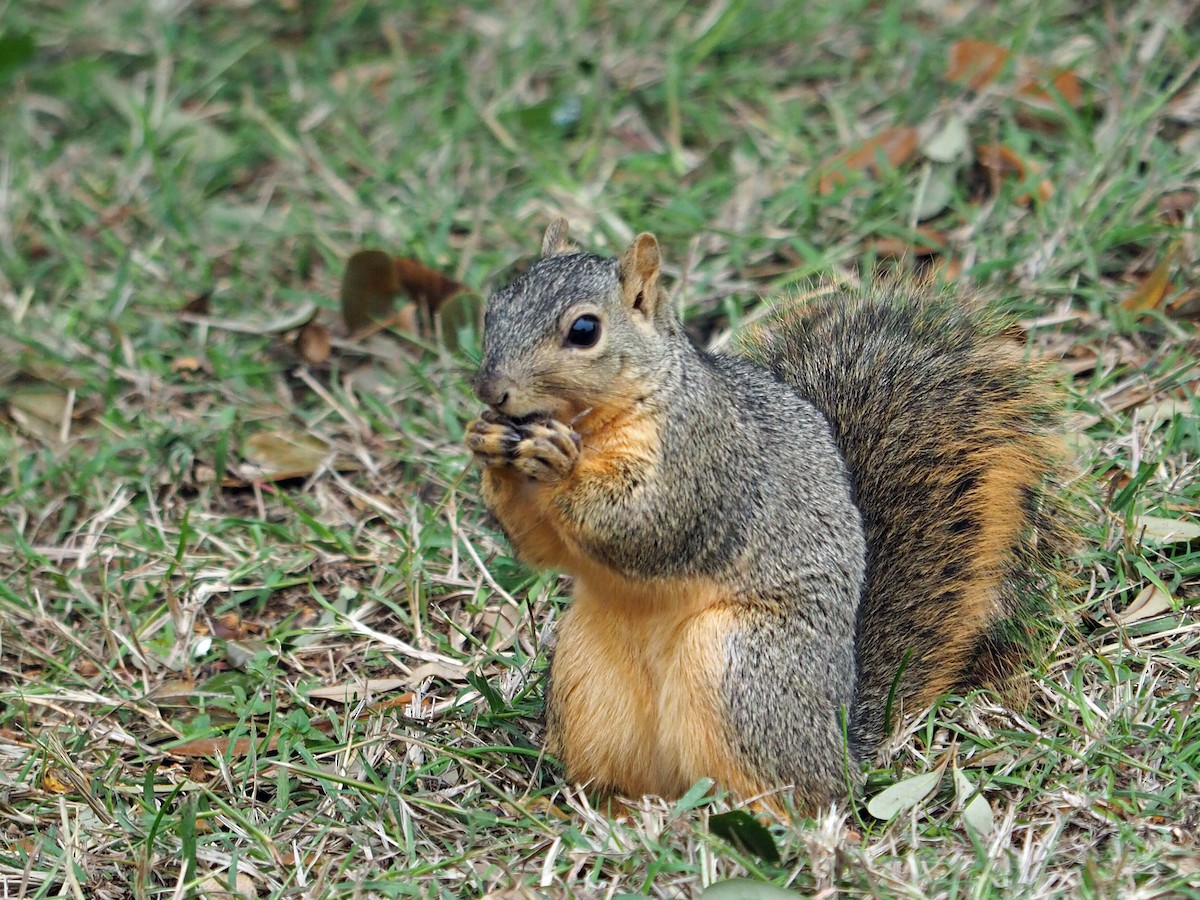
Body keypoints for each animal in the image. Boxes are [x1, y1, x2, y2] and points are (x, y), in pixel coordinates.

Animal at [464, 218, 1074, 814]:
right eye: (494, 308)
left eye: (585, 330)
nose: (491, 391)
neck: (596, 422)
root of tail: (840, 746)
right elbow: (540, 547)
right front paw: (489, 447)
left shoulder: (707, 463)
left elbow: (649, 524)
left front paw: (556, 463)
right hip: (585, 682)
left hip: (741, 668)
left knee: (792, 795)